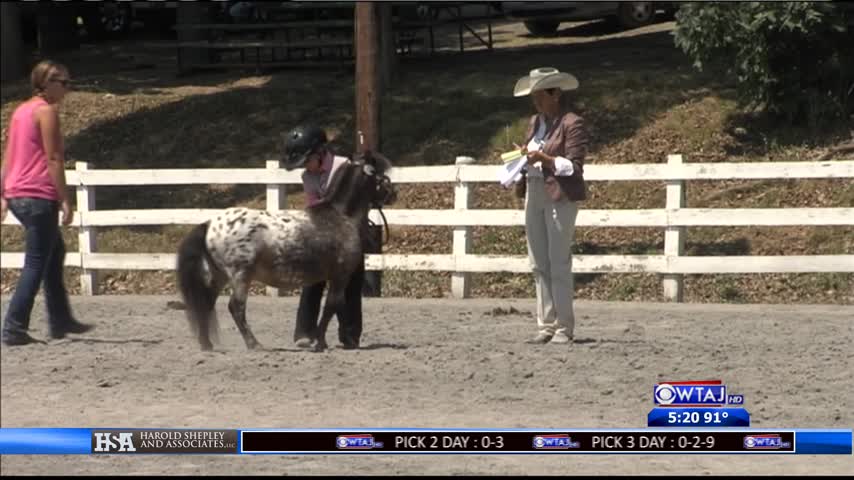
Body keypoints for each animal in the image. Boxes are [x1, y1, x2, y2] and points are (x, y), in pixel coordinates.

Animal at [180, 154, 398, 352]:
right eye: (381, 176)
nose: (393, 193)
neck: (341, 216)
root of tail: (210, 225)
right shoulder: (340, 276)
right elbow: (331, 306)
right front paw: (320, 343)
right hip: (241, 276)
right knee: (236, 308)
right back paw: (254, 344)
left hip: (219, 276)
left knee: (206, 303)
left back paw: (207, 344)